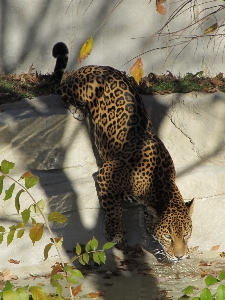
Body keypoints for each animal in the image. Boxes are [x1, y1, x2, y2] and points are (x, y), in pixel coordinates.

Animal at [49, 42, 193, 262]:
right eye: (168, 236)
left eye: (186, 234)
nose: (180, 256)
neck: (158, 183)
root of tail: (96, 66)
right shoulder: (106, 173)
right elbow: (112, 205)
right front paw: (116, 231)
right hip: (82, 90)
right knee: (62, 90)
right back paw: (77, 110)